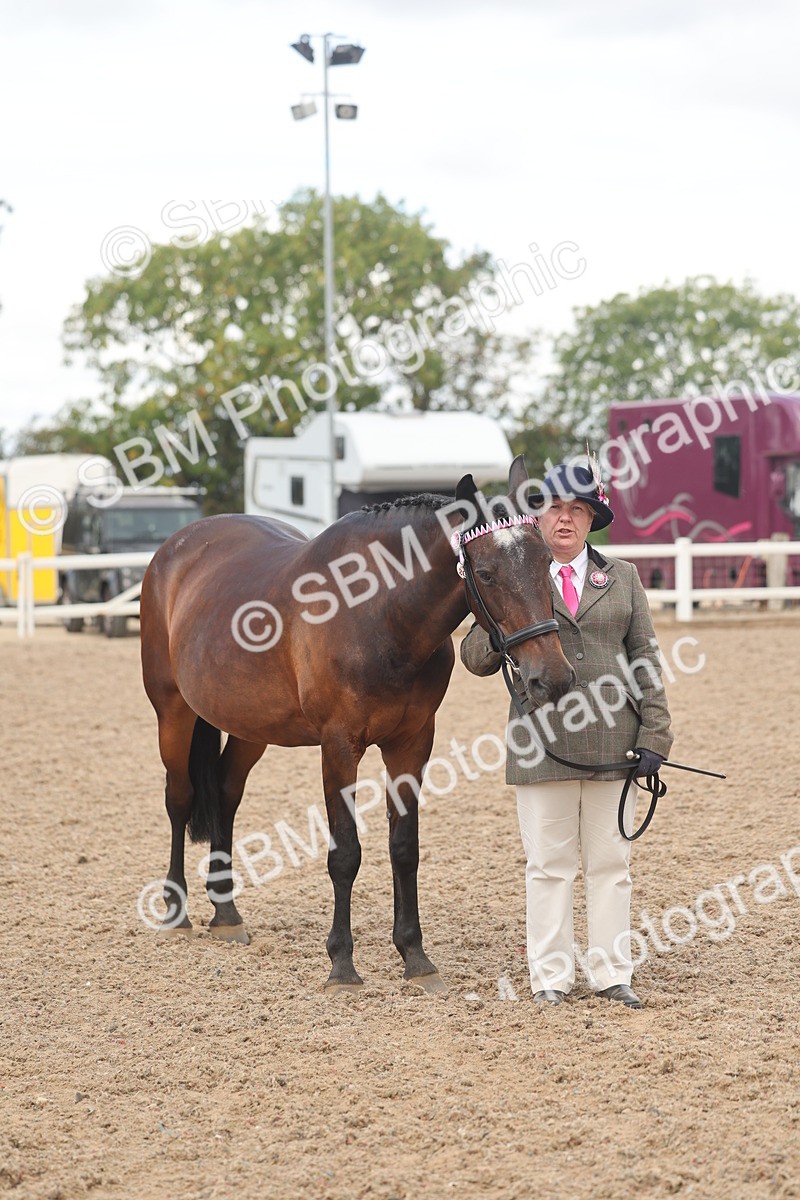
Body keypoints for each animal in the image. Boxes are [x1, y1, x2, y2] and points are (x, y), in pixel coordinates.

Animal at [139, 455, 575, 993]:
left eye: (546, 562)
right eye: (488, 574)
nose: (551, 678)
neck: (378, 614)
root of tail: (177, 548)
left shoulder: (412, 744)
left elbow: (404, 847)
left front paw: (415, 957)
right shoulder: (339, 747)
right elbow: (345, 852)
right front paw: (342, 963)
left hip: (248, 726)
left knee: (223, 792)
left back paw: (226, 913)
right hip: (172, 711)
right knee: (179, 797)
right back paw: (176, 907)